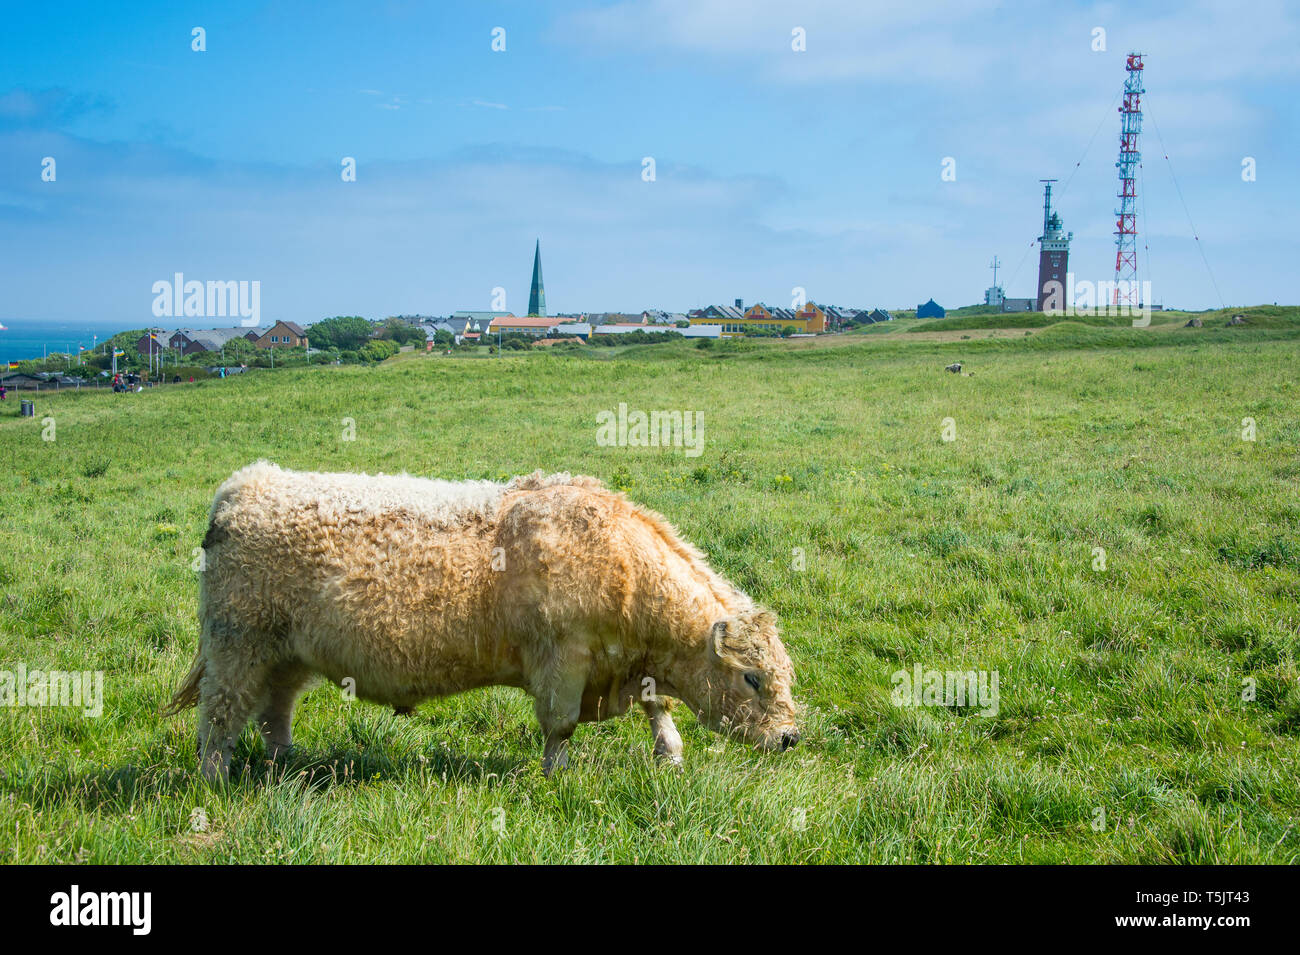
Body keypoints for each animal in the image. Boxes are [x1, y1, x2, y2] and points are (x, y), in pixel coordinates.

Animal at [167, 462, 795, 784]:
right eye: (752, 678)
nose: (790, 737)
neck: (622, 563)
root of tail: (246, 483)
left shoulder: (629, 663)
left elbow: (657, 705)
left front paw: (670, 753)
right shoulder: (562, 659)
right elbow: (561, 725)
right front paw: (555, 775)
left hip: (285, 653)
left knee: (274, 710)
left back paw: (286, 765)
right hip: (237, 645)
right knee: (220, 716)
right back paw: (214, 782)